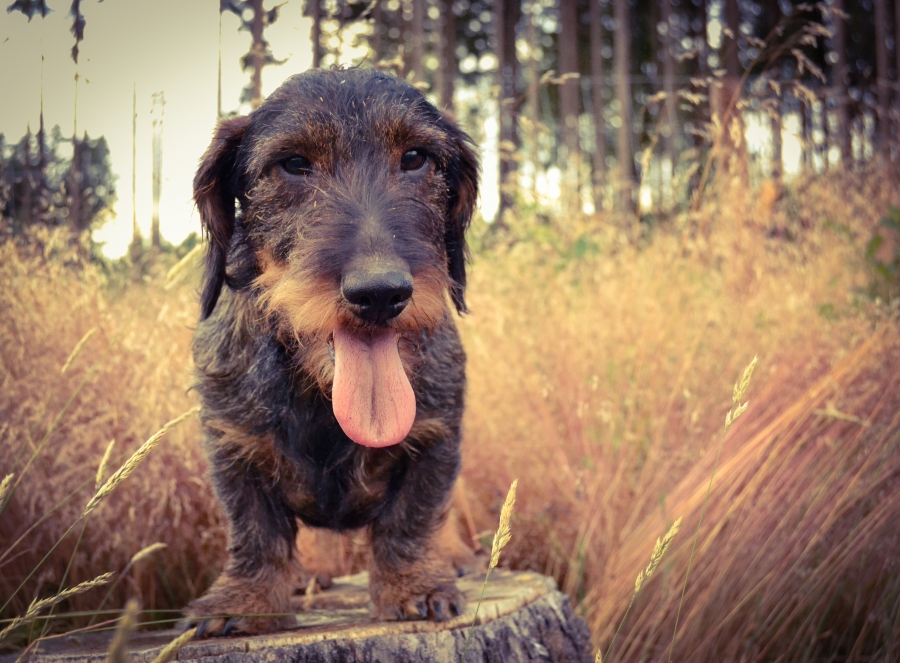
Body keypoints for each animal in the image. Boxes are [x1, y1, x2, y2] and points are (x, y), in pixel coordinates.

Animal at [185, 68, 479, 637]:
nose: (380, 292)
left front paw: (414, 585)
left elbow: (412, 520)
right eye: (294, 163)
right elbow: (254, 532)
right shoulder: (231, 447)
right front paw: (245, 600)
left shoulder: (437, 438)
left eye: (416, 158)